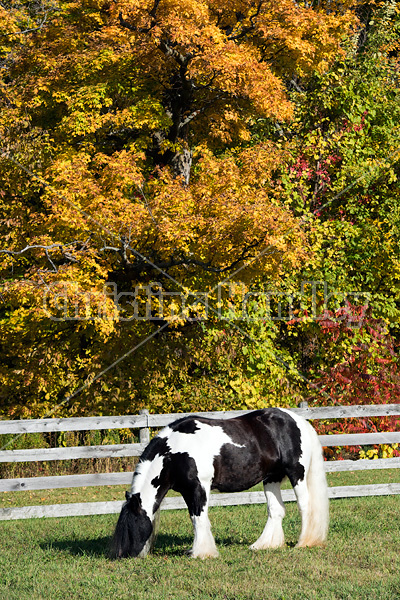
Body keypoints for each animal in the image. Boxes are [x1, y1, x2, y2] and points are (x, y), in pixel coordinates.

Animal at [111, 408, 328, 556]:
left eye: (132, 523)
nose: (122, 555)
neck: (176, 451)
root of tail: (298, 421)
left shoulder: (199, 488)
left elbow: (199, 518)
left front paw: (202, 553)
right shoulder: (187, 490)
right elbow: (194, 518)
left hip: (297, 474)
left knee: (305, 506)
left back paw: (304, 542)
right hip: (271, 478)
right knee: (276, 510)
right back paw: (263, 545)